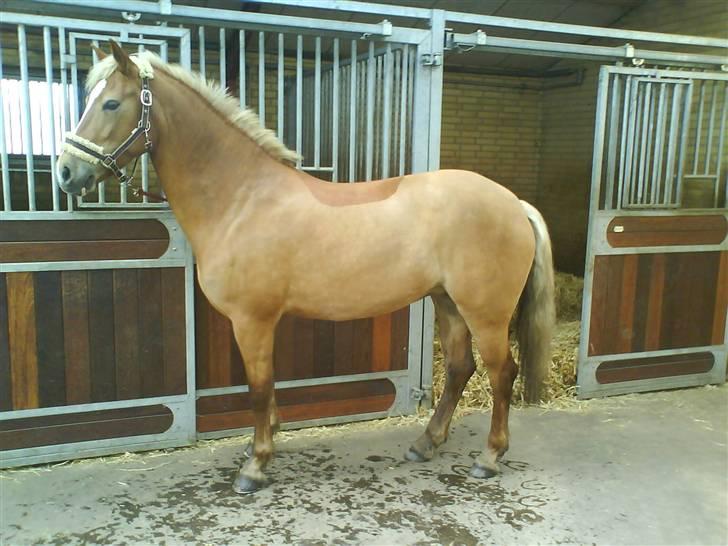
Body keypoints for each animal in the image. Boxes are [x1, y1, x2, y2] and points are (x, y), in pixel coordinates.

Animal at [56, 42, 555, 494]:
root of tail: (514, 203)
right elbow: (268, 387)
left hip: (484, 313)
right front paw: (264, 445)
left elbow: (258, 389)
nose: (65, 173)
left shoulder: (252, 320)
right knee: (458, 368)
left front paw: (255, 467)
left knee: (501, 373)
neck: (243, 197)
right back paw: (425, 443)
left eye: (111, 103)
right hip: (447, 302)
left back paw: (488, 458)